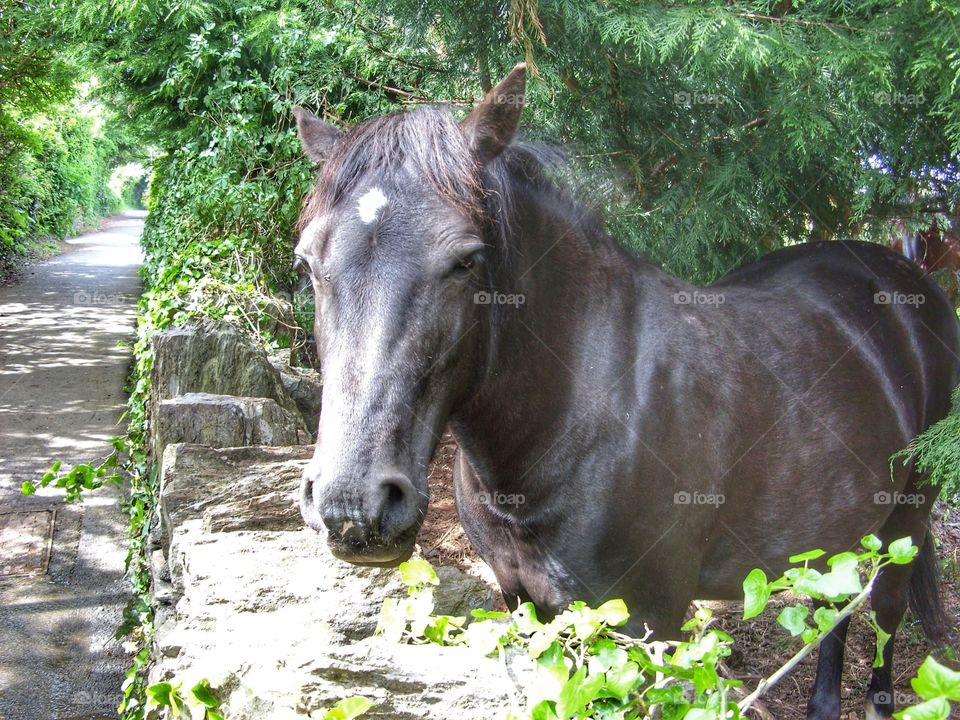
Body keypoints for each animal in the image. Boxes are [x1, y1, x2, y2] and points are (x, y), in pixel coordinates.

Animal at [293, 65, 959, 720]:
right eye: (307, 264)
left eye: (466, 261)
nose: (354, 507)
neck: (573, 416)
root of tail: (910, 280)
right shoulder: (524, 604)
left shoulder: (647, 628)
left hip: (905, 522)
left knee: (885, 609)